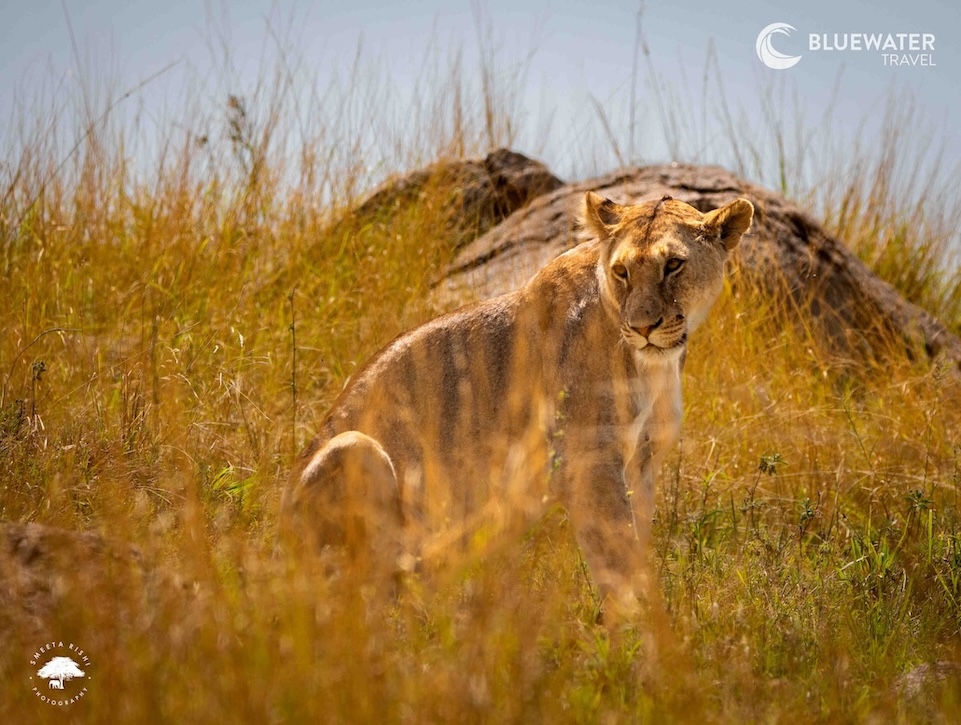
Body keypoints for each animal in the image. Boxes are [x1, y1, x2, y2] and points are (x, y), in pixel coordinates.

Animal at [280, 192, 754, 615]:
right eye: (621, 271)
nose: (643, 327)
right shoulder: (589, 463)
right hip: (355, 449)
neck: (653, 366)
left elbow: (635, 547)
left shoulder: (642, 463)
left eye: (673, 265)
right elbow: (619, 564)